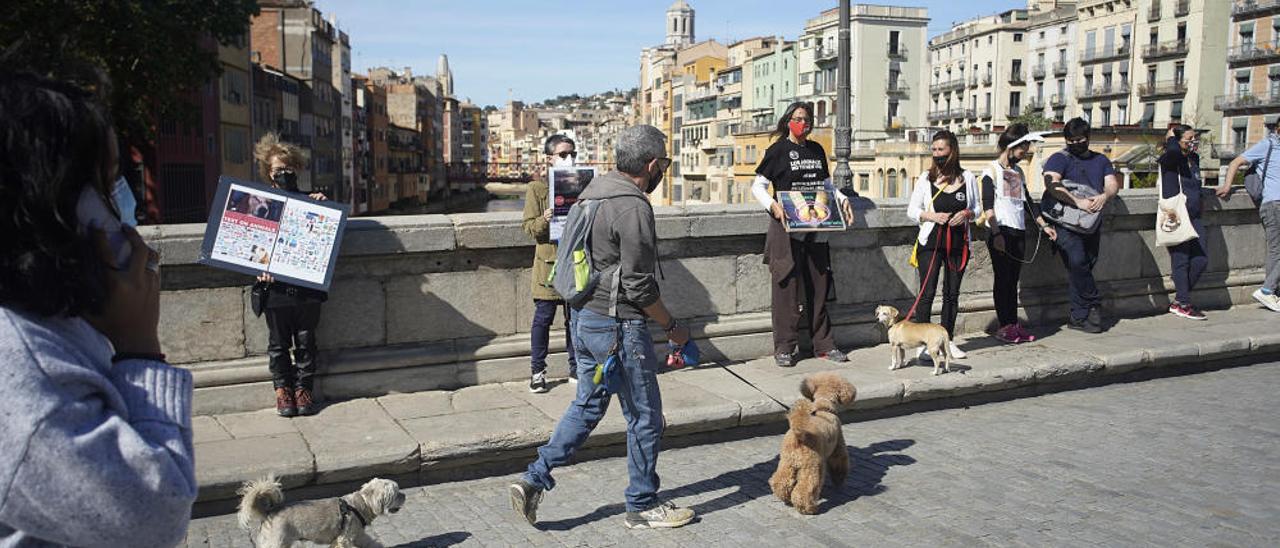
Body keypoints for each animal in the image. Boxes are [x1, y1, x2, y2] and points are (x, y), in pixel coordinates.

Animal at [238, 476, 401, 548]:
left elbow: (370, 542)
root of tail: (270, 511)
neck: (359, 504)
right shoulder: (346, 538)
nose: (404, 495)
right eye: (397, 493)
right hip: (277, 543)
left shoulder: (357, 536)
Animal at [768, 371, 860, 514]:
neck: (823, 407)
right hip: (811, 467)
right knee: (804, 490)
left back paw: (785, 497)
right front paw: (839, 480)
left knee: (780, 482)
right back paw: (808, 507)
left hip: (786, 463)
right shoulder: (838, 446)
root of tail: (799, 437)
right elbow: (839, 463)